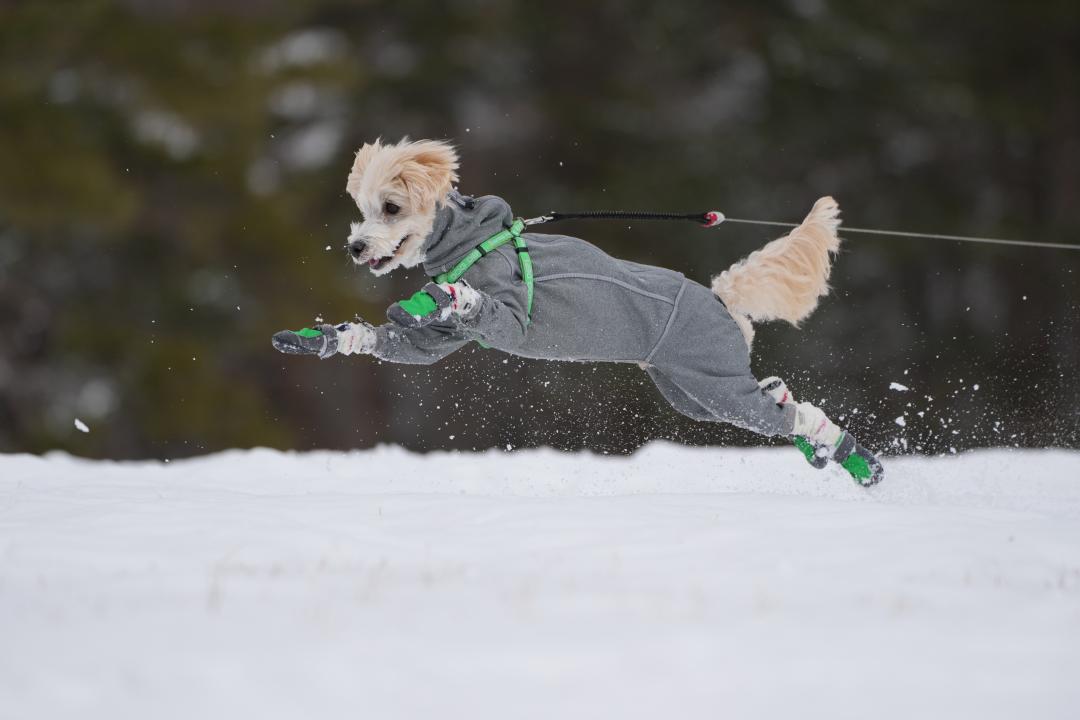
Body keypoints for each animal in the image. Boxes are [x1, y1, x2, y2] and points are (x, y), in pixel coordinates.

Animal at [272, 136, 885, 483]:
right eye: (361, 208)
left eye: (392, 207)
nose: (356, 247)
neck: (472, 242)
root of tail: (719, 296)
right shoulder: (442, 339)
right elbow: (410, 346)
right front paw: (328, 338)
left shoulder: (512, 318)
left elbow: (483, 308)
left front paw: (454, 295)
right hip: (692, 392)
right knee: (778, 398)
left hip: (711, 382)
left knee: (791, 414)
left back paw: (858, 461)